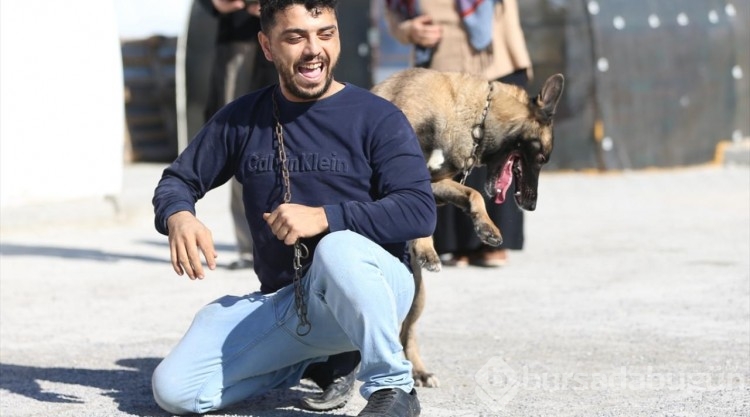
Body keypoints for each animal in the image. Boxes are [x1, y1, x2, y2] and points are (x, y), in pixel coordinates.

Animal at [372, 66, 564, 386]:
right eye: (540, 158)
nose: (531, 205)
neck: (474, 117)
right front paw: (428, 250)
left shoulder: (438, 183)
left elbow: (473, 194)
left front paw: (487, 228)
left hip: (417, 295)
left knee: (407, 332)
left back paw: (419, 371)